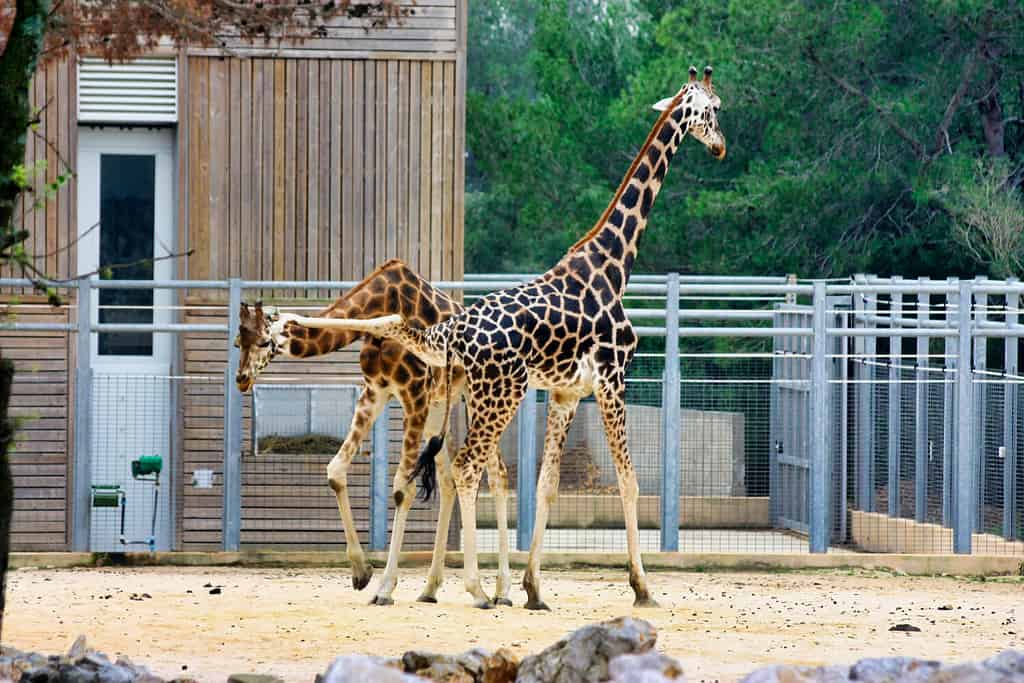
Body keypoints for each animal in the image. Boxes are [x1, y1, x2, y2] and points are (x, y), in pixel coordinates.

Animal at [235, 259, 516, 606]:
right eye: (237, 342)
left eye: (262, 342)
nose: (241, 378)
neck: (383, 302)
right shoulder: (376, 390)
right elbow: (335, 471)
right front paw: (361, 571)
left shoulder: (413, 394)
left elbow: (402, 489)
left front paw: (384, 588)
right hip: (442, 406)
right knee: (450, 479)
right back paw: (430, 588)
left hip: (479, 398)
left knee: (498, 474)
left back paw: (500, 591)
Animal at [296, 65, 729, 610]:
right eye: (714, 110)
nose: (721, 147)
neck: (614, 265)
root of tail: (454, 332)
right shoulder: (612, 380)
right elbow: (629, 483)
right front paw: (642, 588)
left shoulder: (567, 392)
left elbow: (546, 487)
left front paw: (533, 588)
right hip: (497, 396)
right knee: (463, 470)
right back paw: (472, 589)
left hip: (468, 397)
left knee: (448, 466)